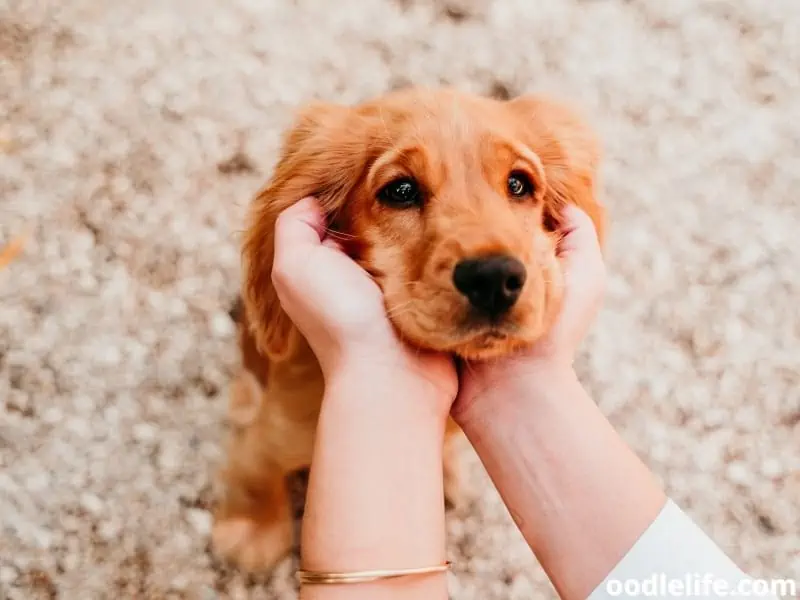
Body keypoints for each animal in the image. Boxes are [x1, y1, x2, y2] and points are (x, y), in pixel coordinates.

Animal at [209, 85, 604, 572]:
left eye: (518, 184)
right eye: (401, 190)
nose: (494, 278)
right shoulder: (279, 428)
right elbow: (256, 465)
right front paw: (252, 529)